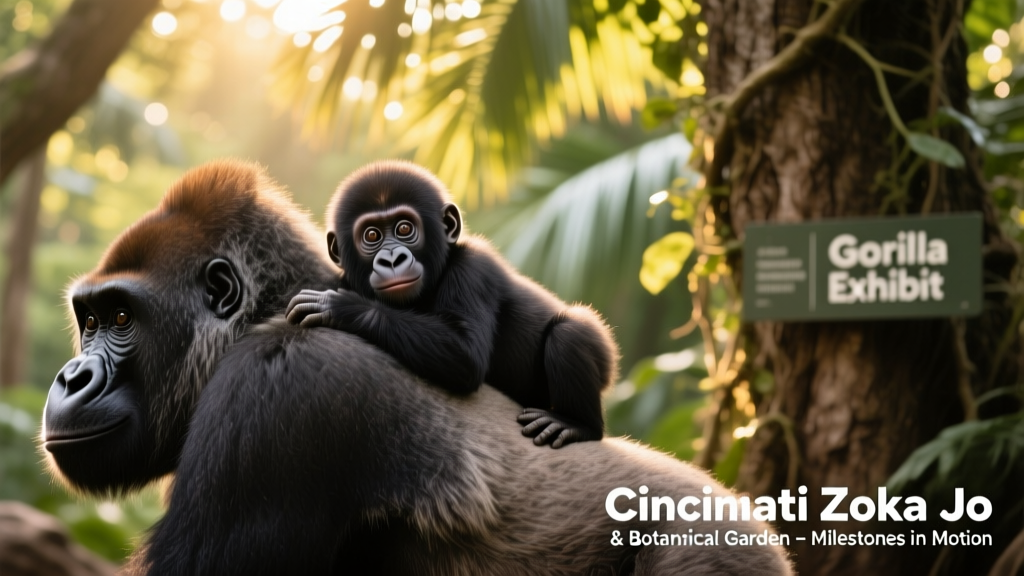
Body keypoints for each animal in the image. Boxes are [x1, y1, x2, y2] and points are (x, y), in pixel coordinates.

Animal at [286, 161, 617, 448]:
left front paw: (341, 307)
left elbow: (465, 355)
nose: (392, 259)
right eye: (371, 235)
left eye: (404, 229)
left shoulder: (472, 270)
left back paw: (576, 424)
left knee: (569, 334)